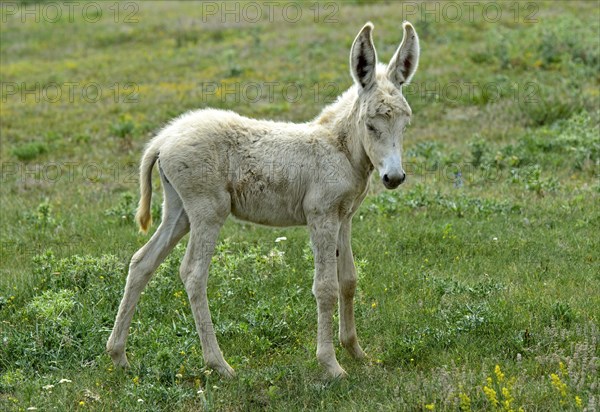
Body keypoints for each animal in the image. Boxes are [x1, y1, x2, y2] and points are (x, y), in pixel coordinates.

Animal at [105, 20, 420, 378]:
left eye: (405, 123)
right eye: (370, 125)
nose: (393, 178)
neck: (339, 149)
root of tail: (161, 140)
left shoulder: (345, 217)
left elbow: (348, 280)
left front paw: (356, 351)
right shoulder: (321, 216)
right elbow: (325, 287)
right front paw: (331, 364)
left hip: (178, 210)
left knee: (142, 262)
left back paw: (119, 355)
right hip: (208, 210)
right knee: (193, 273)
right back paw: (219, 364)